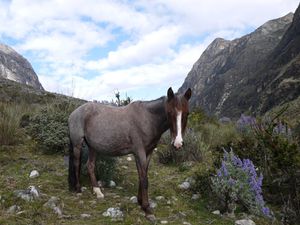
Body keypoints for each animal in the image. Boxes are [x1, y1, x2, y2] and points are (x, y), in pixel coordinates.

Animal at [67, 87, 191, 220]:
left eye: (187, 113)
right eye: (169, 112)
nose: (178, 143)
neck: (148, 118)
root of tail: (73, 113)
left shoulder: (148, 152)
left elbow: (142, 175)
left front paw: (140, 201)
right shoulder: (139, 152)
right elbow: (144, 179)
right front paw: (147, 209)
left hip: (93, 147)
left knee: (90, 166)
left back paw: (98, 192)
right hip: (77, 144)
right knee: (77, 164)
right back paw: (78, 188)